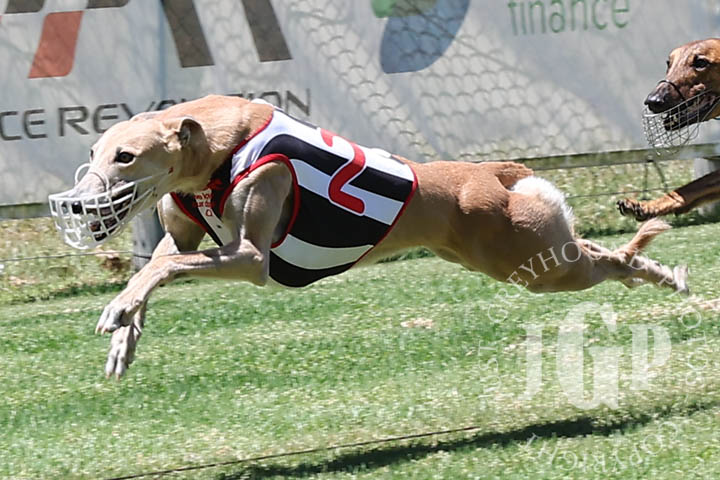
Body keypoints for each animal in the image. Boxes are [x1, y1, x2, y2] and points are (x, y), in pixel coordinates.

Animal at [48, 95, 688, 378]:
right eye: (95, 151)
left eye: (126, 156)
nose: (77, 204)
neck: (217, 149)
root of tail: (496, 174)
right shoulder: (182, 237)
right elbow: (155, 269)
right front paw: (123, 339)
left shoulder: (251, 255)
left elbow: (162, 269)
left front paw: (115, 314)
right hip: (525, 255)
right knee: (600, 252)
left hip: (533, 261)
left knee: (609, 260)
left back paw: (665, 273)